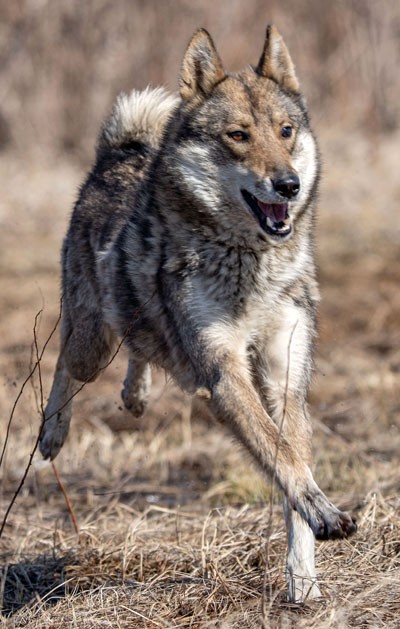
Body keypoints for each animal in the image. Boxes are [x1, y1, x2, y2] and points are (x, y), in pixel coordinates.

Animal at [40, 26, 357, 603]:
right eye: (238, 136)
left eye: (285, 131)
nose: (289, 185)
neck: (249, 265)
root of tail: (116, 153)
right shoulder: (224, 372)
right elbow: (281, 457)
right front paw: (324, 515)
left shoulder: (284, 379)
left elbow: (291, 462)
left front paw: (303, 580)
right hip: (92, 344)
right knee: (65, 363)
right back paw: (52, 432)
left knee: (139, 347)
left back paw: (136, 395)